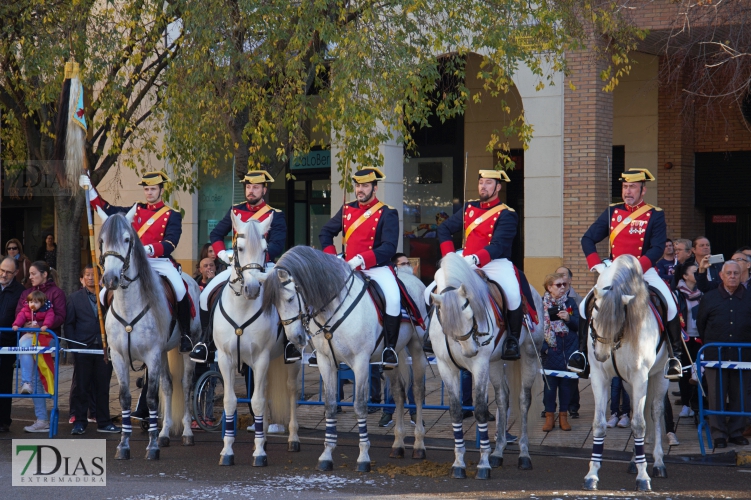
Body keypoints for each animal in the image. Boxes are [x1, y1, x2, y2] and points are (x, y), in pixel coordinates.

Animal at [98, 208, 201, 460]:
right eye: (102, 241)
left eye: (127, 240)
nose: (110, 279)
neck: (129, 303)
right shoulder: (119, 357)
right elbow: (125, 398)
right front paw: (124, 445)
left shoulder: (151, 355)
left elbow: (152, 398)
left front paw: (152, 446)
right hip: (164, 352)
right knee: (168, 385)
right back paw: (164, 433)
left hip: (187, 348)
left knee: (186, 385)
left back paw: (186, 433)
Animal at [214, 213, 300, 466]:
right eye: (239, 248)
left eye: (265, 249)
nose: (252, 289)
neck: (242, 307)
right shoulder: (226, 359)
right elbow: (231, 401)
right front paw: (227, 451)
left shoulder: (261, 358)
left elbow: (258, 401)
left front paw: (259, 453)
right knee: (267, 389)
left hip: (292, 358)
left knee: (291, 390)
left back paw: (293, 439)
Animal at [262, 246, 428, 472]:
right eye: (274, 304)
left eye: (289, 299)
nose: (295, 338)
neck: (333, 306)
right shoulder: (325, 362)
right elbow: (330, 405)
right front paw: (326, 455)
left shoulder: (360, 363)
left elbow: (360, 406)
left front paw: (364, 457)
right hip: (392, 358)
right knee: (399, 393)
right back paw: (398, 445)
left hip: (417, 348)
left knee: (418, 392)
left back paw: (419, 445)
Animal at [428, 254, 548, 480]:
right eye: (445, 319)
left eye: (471, 314)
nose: (469, 351)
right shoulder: (445, 366)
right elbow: (455, 411)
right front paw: (459, 463)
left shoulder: (479, 364)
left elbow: (481, 410)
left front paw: (482, 464)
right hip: (494, 363)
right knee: (502, 399)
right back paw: (498, 453)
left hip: (528, 355)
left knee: (523, 400)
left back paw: (524, 455)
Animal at [580, 254, 668, 492]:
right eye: (594, 311)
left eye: (619, 318)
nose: (601, 355)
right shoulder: (599, 377)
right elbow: (599, 425)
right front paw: (592, 475)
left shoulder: (640, 376)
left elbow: (639, 424)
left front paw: (643, 477)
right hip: (629, 383)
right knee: (638, 410)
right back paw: (633, 461)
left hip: (659, 376)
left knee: (656, 412)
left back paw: (658, 463)